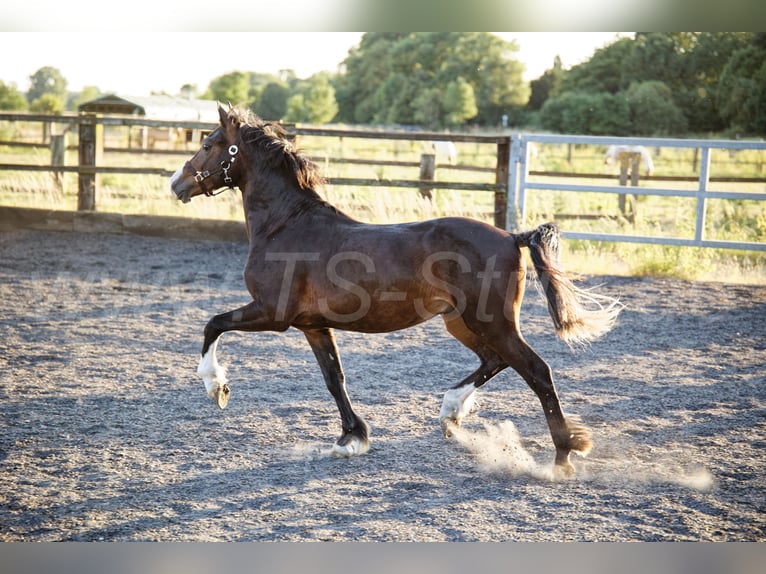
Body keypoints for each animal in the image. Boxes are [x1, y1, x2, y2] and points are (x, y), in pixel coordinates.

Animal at [170, 104, 622, 476]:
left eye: (208, 144)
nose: (176, 183)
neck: (287, 226)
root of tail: (513, 237)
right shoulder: (313, 325)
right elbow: (334, 378)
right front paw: (352, 438)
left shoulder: (271, 313)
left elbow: (213, 325)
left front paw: (217, 388)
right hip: (462, 322)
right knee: (496, 361)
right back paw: (451, 413)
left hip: (491, 321)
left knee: (536, 370)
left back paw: (562, 457)